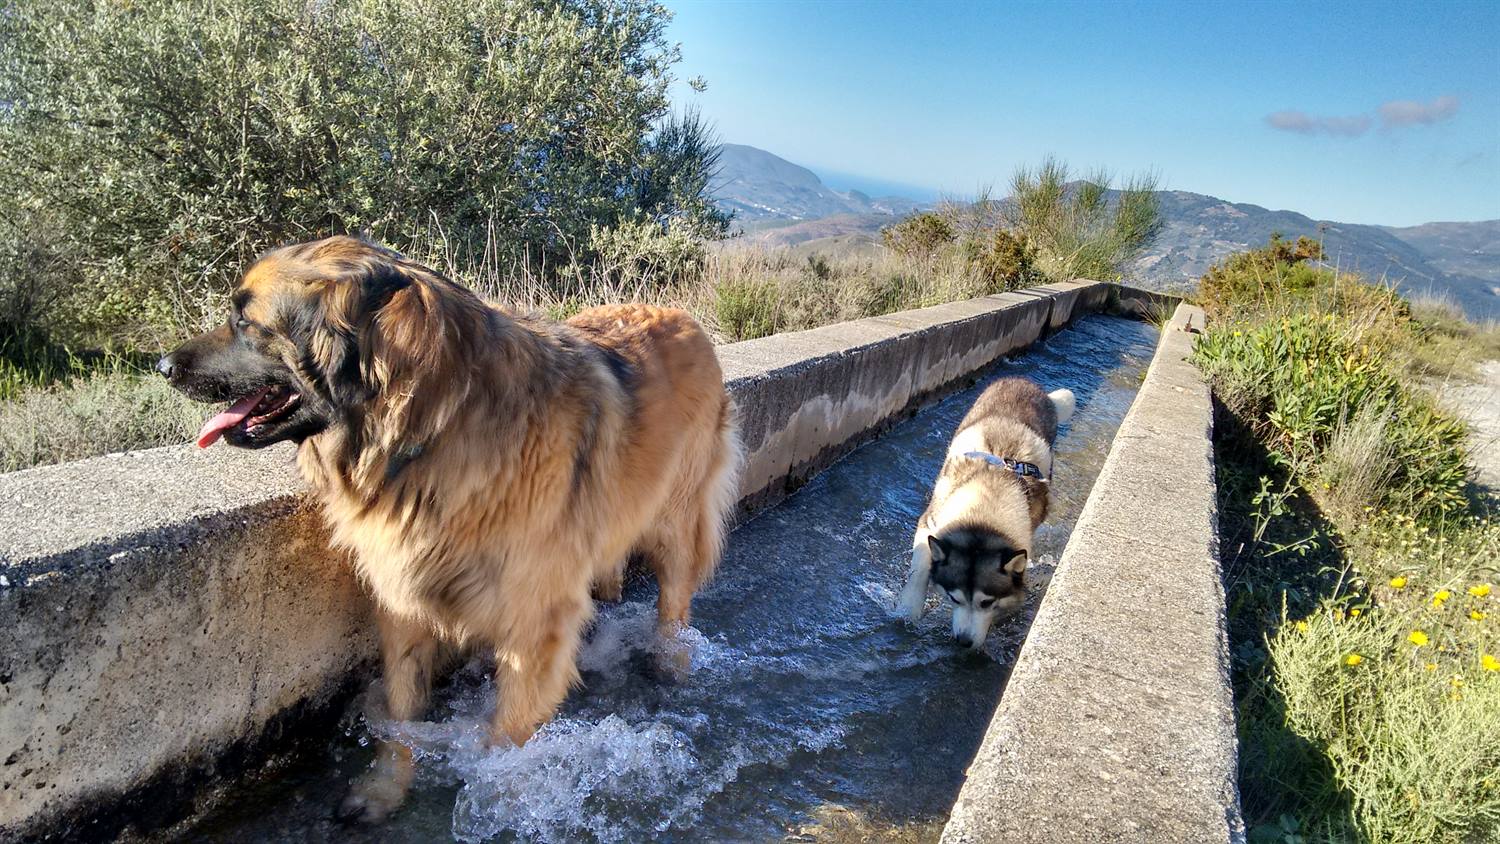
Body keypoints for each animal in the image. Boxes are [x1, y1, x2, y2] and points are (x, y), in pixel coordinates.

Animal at [159, 233, 744, 821]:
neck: (434, 427)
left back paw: (672, 661)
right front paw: (384, 790)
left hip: (677, 521)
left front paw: (502, 797)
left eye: (246, 320)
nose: (162, 366)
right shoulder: (402, 600)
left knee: (675, 602)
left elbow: (505, 734)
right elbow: (401, 717)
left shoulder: (534, 623)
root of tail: (683, 316)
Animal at [894, 379, 1074, 650]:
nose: (963, 642)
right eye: (954, 599)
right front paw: (909, 609)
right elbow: (920, 568)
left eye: (987, 603)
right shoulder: (930, 522)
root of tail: (1025, 382)